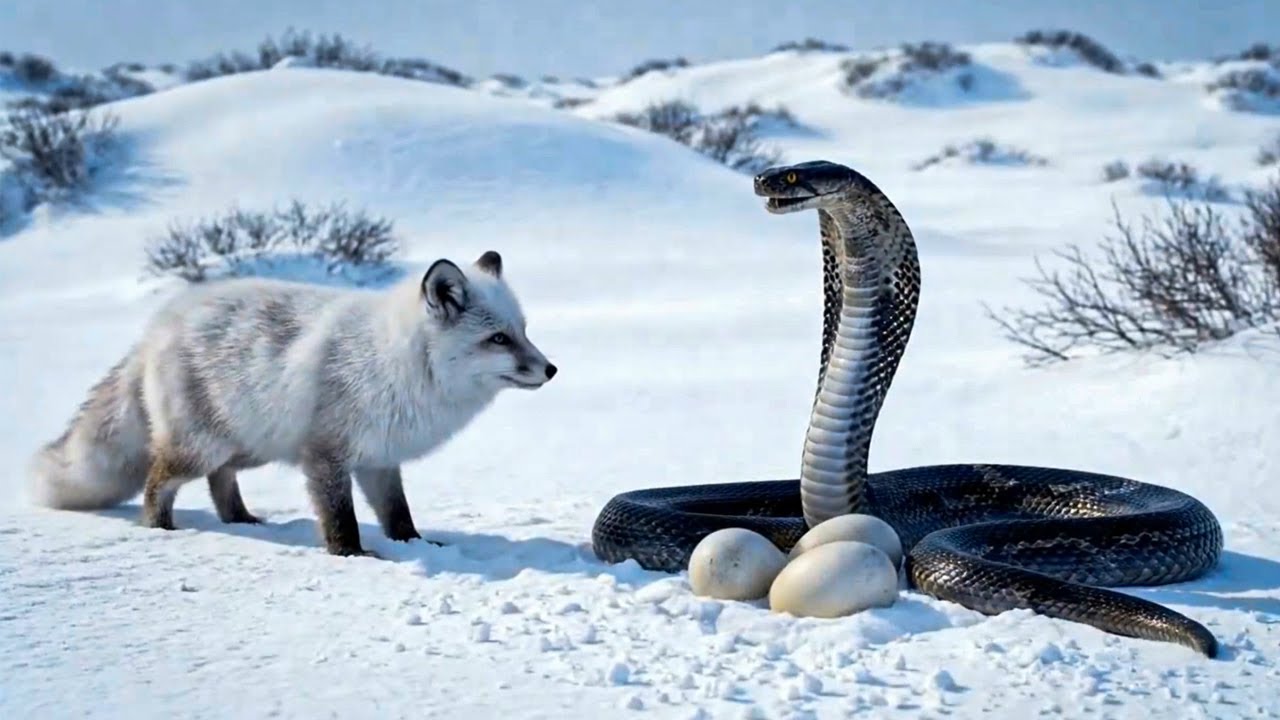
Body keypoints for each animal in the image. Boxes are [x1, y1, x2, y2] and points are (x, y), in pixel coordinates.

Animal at [26, 250, 556, 556]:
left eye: (524, 331)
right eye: (498, 339)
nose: (551, 369)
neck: (397, 364)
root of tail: (156, 327)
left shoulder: (379, 458)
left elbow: (397, 514)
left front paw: (416, 545)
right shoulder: (325, 456)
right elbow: (341, 520)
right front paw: (354, 558)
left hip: (249, 447)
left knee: (221, 482)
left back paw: (240, 518)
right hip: (198, 450)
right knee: (158, 483)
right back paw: (161, 529)